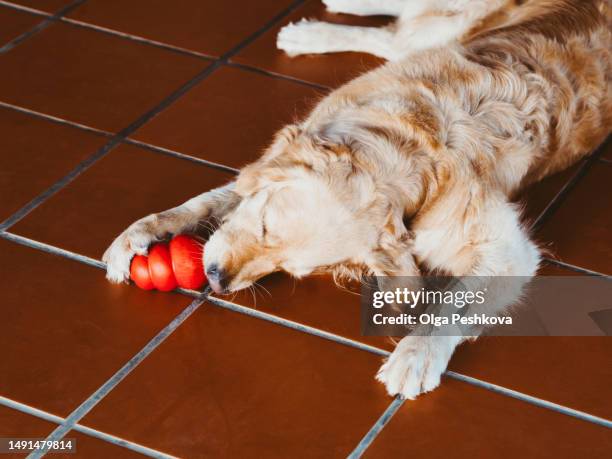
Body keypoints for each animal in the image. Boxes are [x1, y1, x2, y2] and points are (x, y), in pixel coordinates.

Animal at [104, 0, 608, 400]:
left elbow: (452, 304)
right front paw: (141, 233)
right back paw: (317, 25)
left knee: (394, 33)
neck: (405, 144)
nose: (216, 279)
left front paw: (417, 353)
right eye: (264, 222)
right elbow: (208, 201)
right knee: (396, 30)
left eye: (290, 269)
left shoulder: (507, 251)